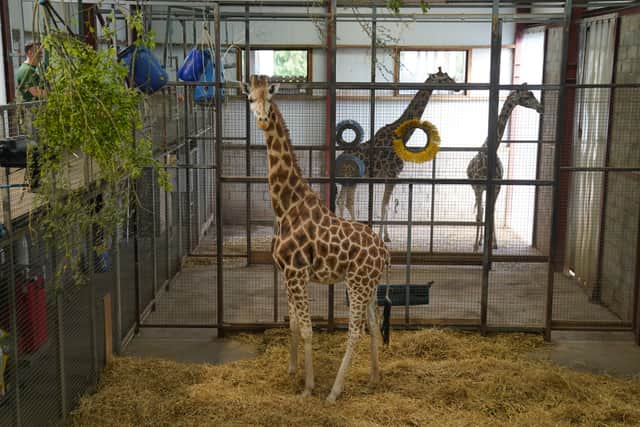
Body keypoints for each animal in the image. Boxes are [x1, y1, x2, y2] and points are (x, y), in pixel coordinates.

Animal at [241, 75, 390, 402]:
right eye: (250, 99)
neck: (286, 206)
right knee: (373, 326)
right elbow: (294, 325)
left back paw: (334, 392)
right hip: (370, 285)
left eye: (270, 97)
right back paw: (373, 379)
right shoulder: (287, 274)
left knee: (355, 332)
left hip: (356, 284)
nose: (262, 120)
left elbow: (308, 329)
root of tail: (386, 253)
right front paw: (292, 371)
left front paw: (308, 386)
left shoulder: (296, 273)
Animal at [336, 67, 459, 242]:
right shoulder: (392, 175)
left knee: (341, 201)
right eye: (444, 78)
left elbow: (384, 205)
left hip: (348, 181)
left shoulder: (391, 176)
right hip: (351, 179)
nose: (458, 87)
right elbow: (385, 206)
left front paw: (386, 236)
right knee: (347, 202)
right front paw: (382, 236)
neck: (401, 135)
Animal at [466, 84, 543, 252]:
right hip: (476, 189)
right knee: (481, 211)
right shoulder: (479, 187)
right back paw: (479, 242)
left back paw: (486, 241)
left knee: (488, 211)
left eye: (533, 93)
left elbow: (491, 214)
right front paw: (475, 246)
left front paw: (492, 244)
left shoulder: (496, 187)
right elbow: (480, 216)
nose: (541, 108)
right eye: (527, 96)